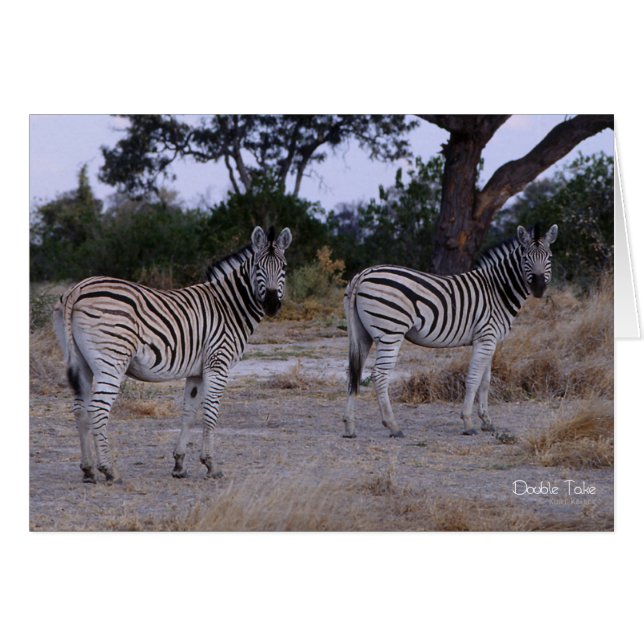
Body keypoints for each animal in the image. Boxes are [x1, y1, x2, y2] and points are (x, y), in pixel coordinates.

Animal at [53, 226, 292, 483]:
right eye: (258, 267)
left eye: (284, 267)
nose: (271, 305)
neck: (229, 307)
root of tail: (78, 288)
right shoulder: (218, 362)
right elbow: (210, 412)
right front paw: (211, 465)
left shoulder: (197, 371)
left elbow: (189, 412)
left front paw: (179, 464)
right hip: (111, 361)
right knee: (97, 410)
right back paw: (109, 470)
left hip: (82, 363)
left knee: (80, 410)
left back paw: (88, 469)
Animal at [342, 223, 558, 439]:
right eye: (525, 258)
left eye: (549, 257)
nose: (539, 288)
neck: (497, 290)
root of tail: (363, 274)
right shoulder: (486, 338)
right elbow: (473, 379)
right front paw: (468, 422)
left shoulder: (490, 340)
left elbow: (486, 381)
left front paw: (487, 422)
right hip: (390, 333)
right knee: (379, 375)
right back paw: (393, 426)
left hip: (362, 335)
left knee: (354, 373)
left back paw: (350, 427)